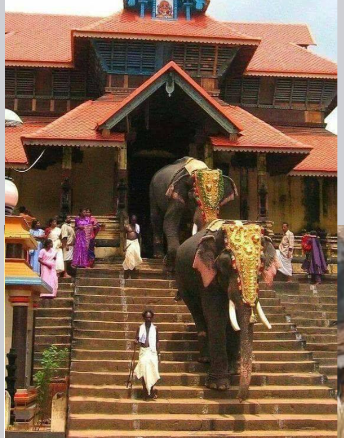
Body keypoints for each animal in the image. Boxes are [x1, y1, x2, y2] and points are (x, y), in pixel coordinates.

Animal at [175, 221, 280, 402]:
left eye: (261, 265)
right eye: (226, 265)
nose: (240, 398)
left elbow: (235, 319)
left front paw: (235, 371)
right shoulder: (206, 275)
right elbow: (215, 315)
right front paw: (219, 386)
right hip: (183, 283)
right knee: (198, 314)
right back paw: (205, 359)